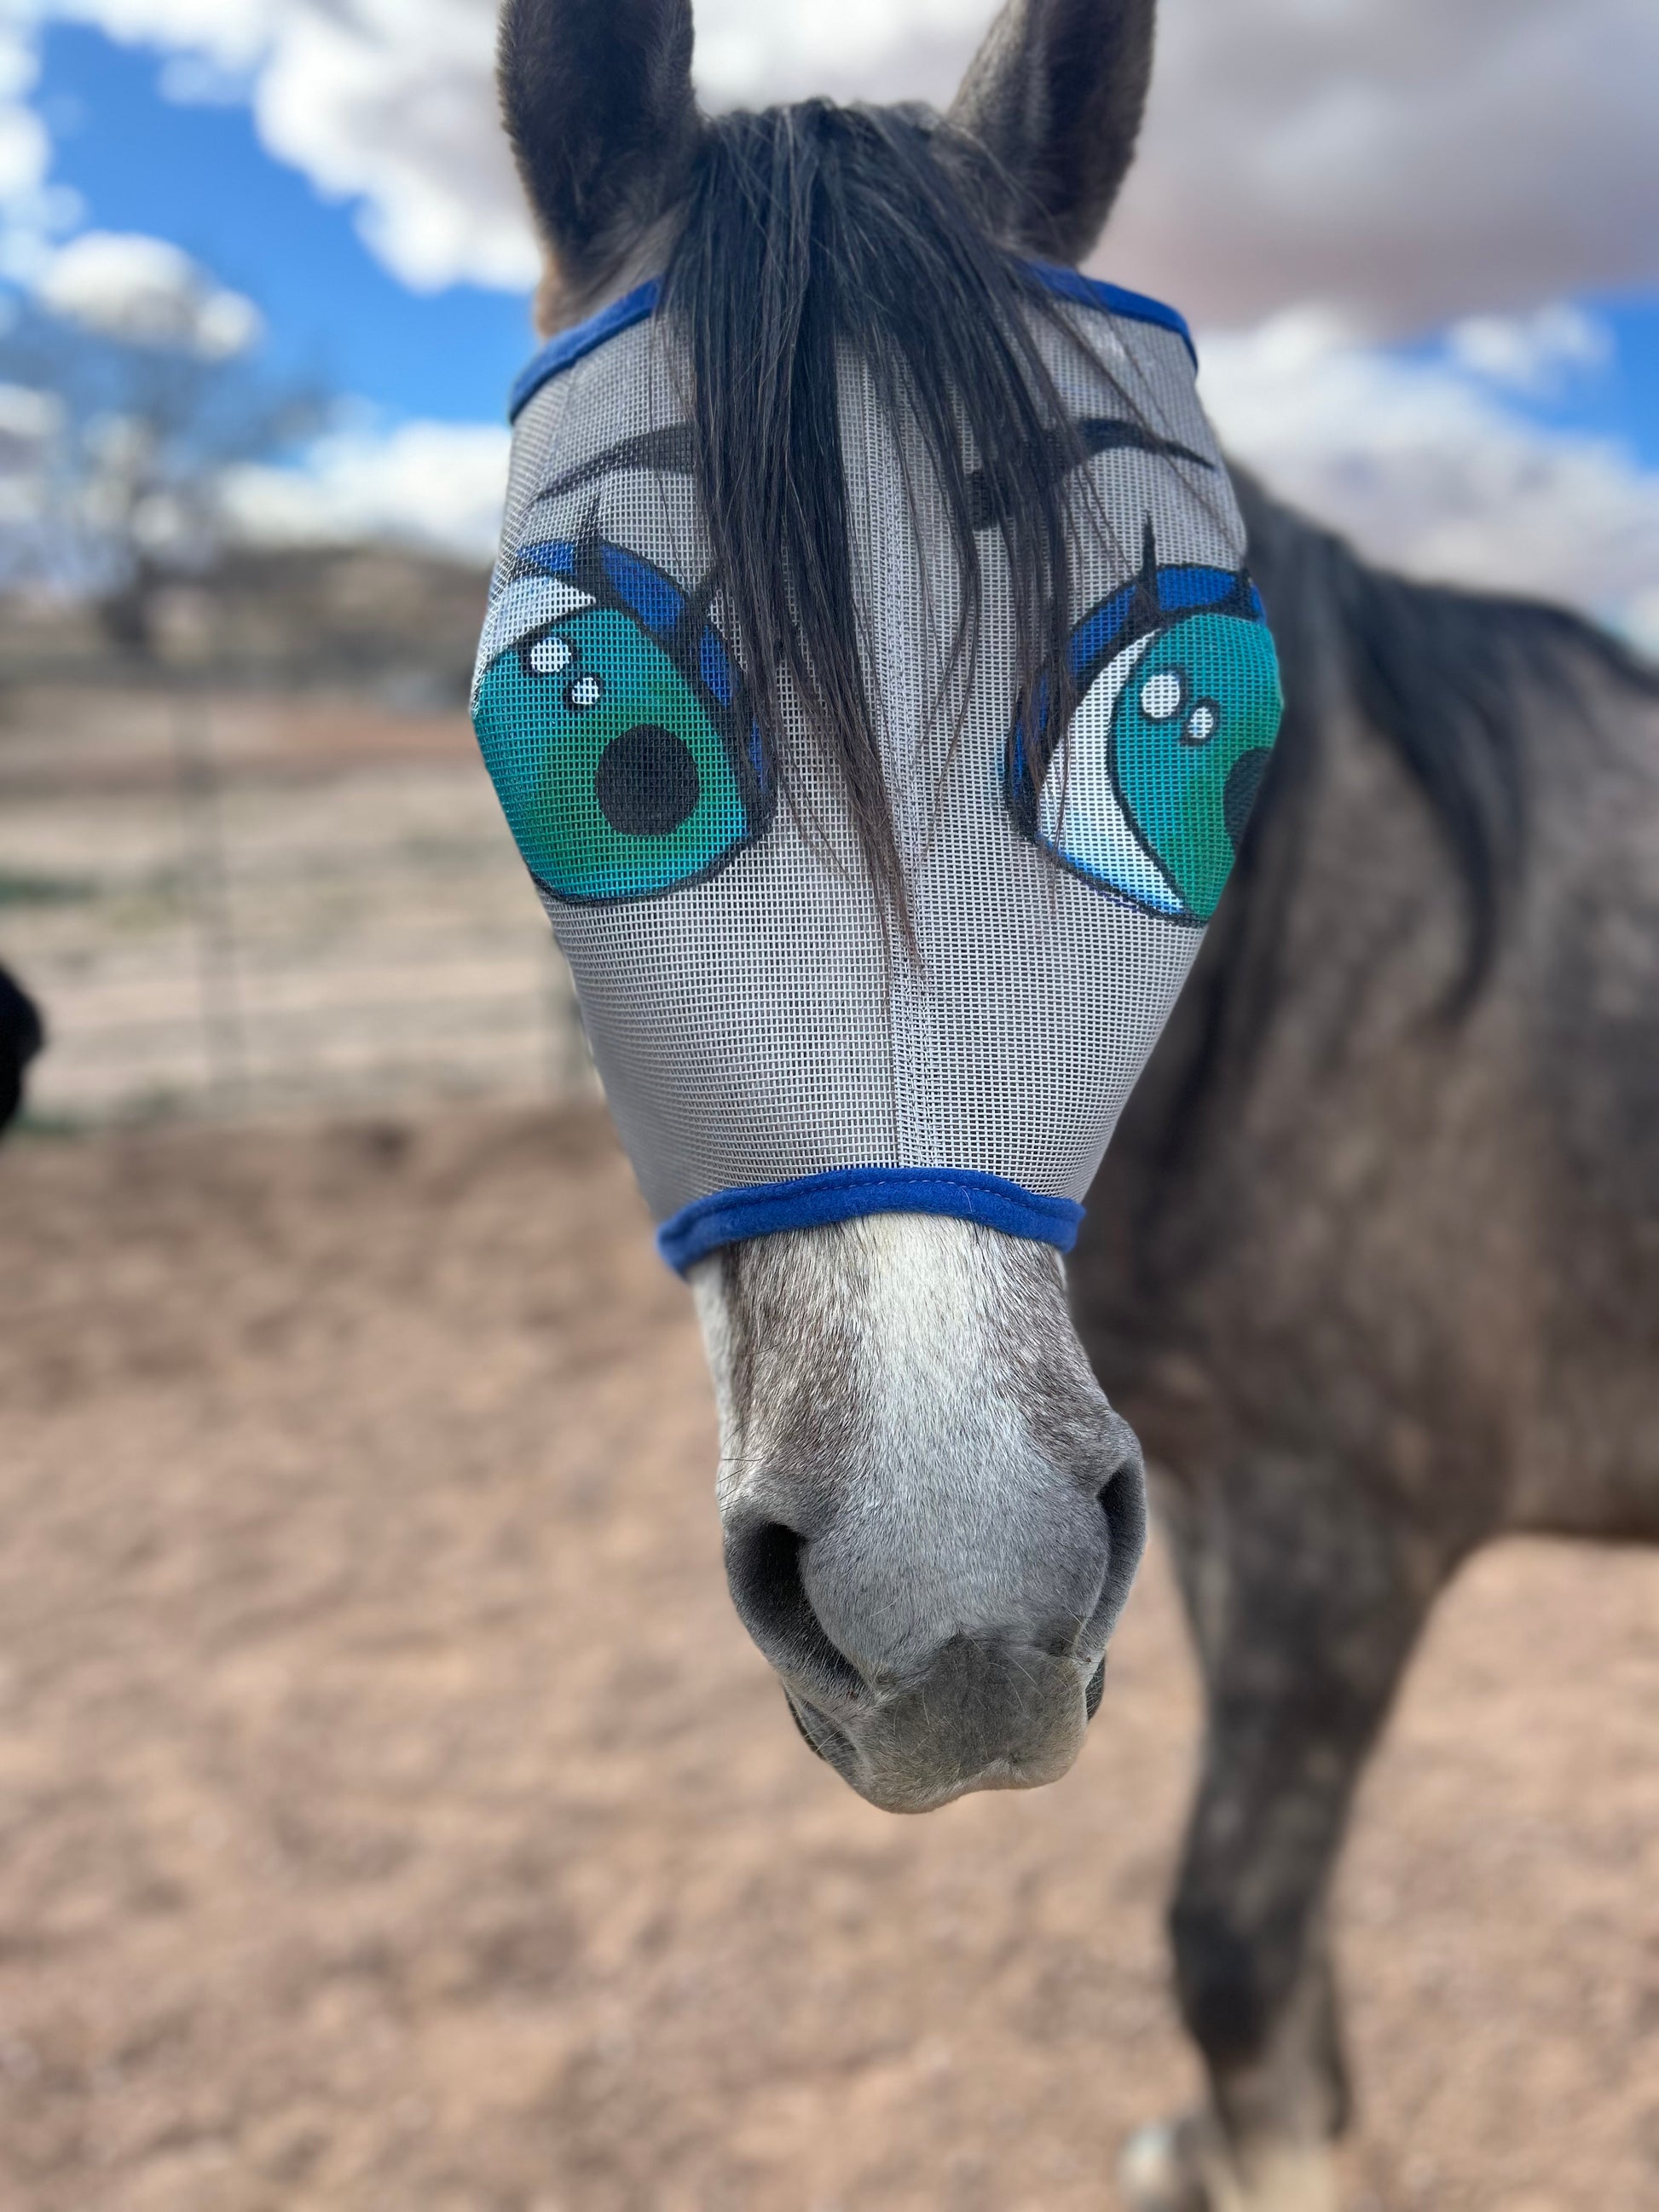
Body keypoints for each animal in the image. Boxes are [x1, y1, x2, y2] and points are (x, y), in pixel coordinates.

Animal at [493, 9, 1659, 2203]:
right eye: (601, 742)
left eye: (1188, 723)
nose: (945, 1606)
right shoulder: (1196, 1510)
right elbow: (1286, 1961)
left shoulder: (1336, 1539)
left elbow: (1233, 1944)